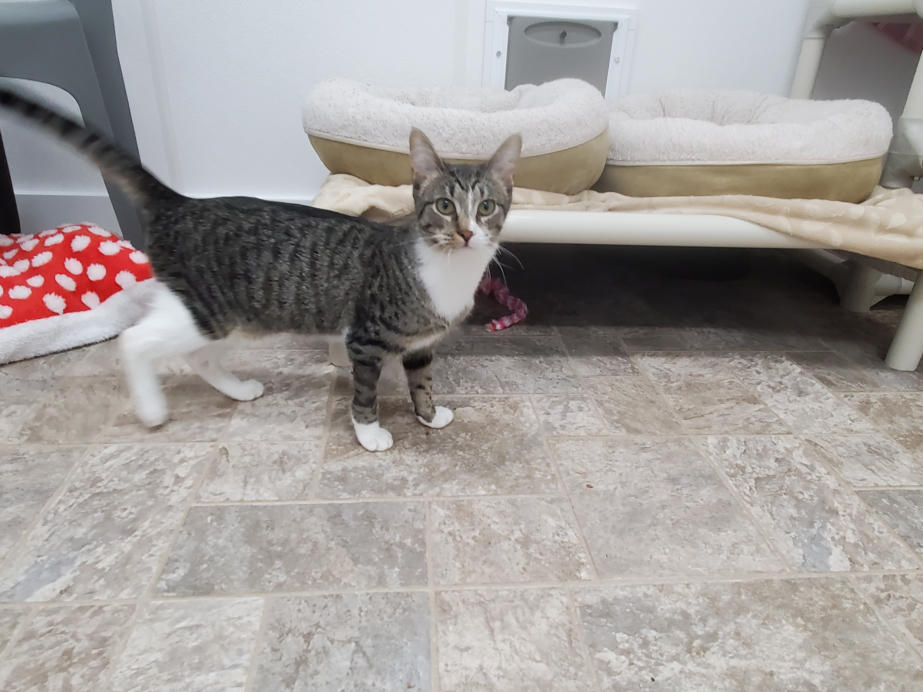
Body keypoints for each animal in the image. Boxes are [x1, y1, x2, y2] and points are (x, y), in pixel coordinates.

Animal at [0, 87, 520, 451]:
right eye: (445, 206)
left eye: (487, 207)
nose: (468, 233)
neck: (449, 270)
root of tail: (180, 203)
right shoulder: (365, 338)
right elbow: (366, 390)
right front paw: (369, 432)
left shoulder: (420, 344)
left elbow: (421, 379)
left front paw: (429, 414)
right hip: (206, 309)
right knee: (134, 339)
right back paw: (150, 408)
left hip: (232, 315)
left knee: (198, 355)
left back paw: (236, 389)